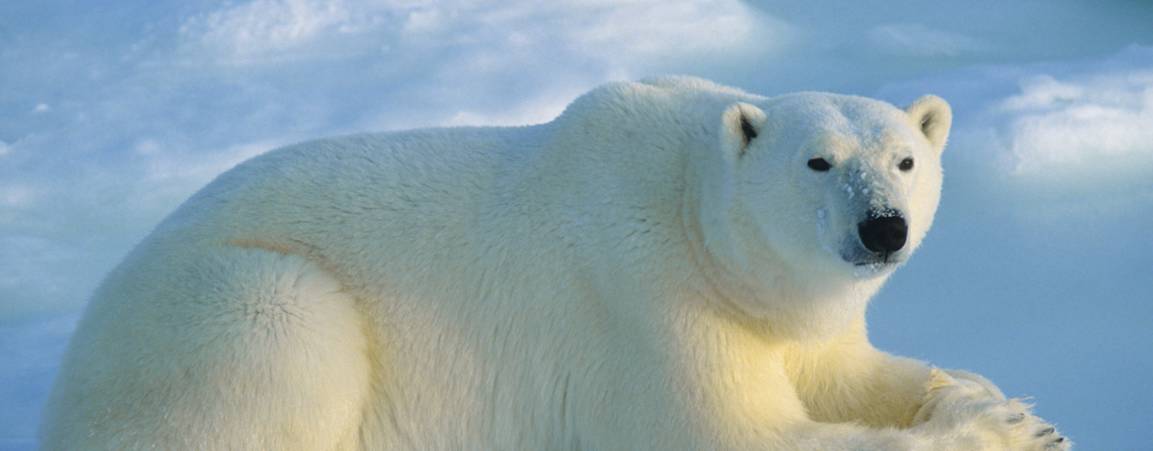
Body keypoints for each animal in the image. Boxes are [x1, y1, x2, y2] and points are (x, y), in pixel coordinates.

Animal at [41, 76, 1067, 450]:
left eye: (904, 158)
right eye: (818, 160)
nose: (881, 228)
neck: (690, 209)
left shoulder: (778, 310)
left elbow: (844, 370)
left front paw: (1000, 398)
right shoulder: (647, 301)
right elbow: (736, 431)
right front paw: (992, 429)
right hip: (232, 303)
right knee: (284, 329)